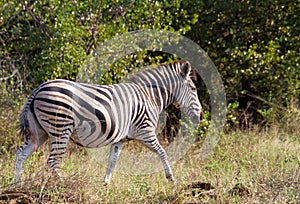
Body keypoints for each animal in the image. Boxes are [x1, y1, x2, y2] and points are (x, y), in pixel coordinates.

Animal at [14, 60, 203, 183]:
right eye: (194, 89)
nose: (201, 116)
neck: (149, 97)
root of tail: (39, 88)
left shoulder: (120, 139)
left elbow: (112, 161)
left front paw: (105, 184)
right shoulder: (146, 131)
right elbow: (163, 152)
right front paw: (171, 177)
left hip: (39, 132)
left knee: (21, 153)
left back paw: (17, 183)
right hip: (61, 128)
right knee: (53, 161)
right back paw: (61, 184)